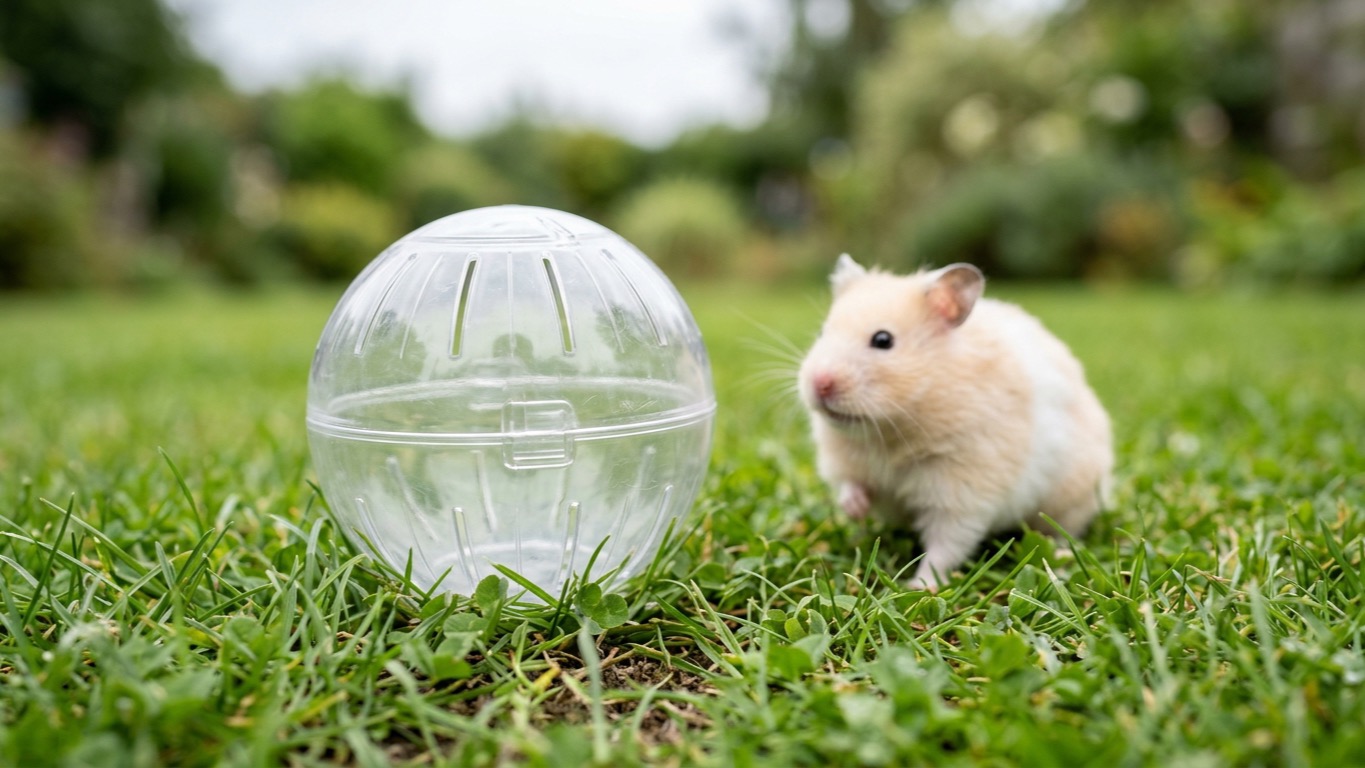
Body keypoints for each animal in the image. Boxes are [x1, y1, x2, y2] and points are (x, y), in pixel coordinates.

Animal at [798, 255, 1113, 590]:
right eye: (822, 333)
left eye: (883, 340)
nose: (820, 383)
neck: (889, 431)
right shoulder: (845, 459)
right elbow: (850, 484)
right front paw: (854, 511)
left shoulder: (963, 491)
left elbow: (945, 546)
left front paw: (919, 587)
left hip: (1073, 497)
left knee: (1065, 529)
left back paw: (1062, 555)